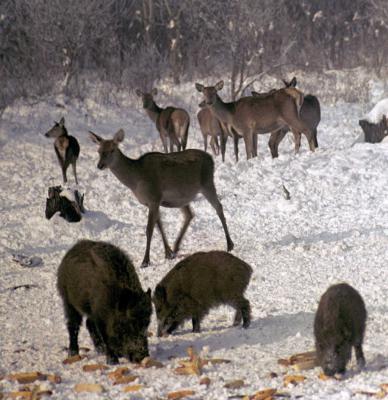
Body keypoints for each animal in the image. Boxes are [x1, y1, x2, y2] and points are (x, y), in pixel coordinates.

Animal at [88, 129, 233, 268]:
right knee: (189, 214)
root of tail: (211, 158)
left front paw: (145, 261)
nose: (100, 165)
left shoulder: (154, 197)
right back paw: (176, 247)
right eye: (99, 151)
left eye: (112, 150)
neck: (136, 180)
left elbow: (149, 229)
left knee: (219, 207)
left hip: (207, 183)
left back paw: (229, 244)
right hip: (183, 197)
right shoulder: (152, 202)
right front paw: (168, 253)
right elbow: (159, 226)